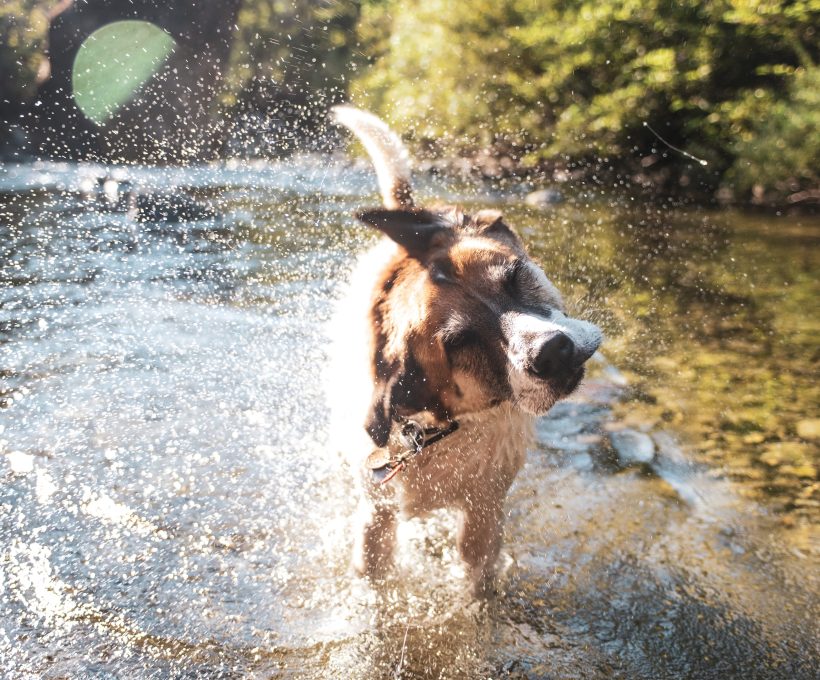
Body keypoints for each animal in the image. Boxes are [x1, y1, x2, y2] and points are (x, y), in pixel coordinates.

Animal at [326, 106, 604, 596]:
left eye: (515, 276)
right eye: (461, 342)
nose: (552, 351)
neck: (433, 429)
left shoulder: (483, 515)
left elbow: (479, 581)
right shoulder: (376, 518)